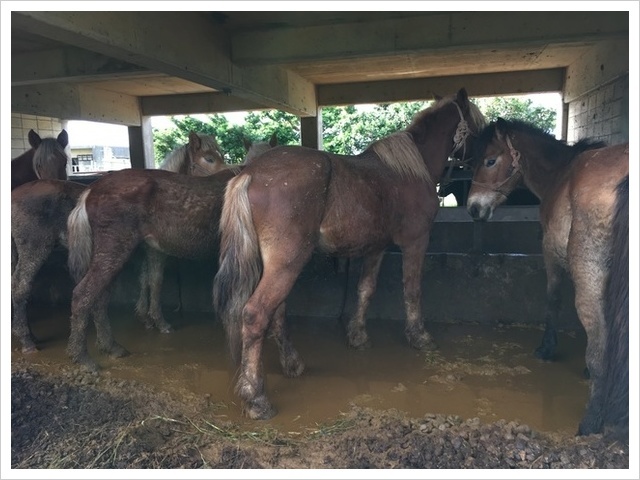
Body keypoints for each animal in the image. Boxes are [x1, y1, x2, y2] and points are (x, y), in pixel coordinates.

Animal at [10, 131, 228, 352]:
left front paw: (147, 318)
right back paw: (28, 341)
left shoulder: (148, 251)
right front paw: (158, 321)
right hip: (36, 249)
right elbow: (155, 282)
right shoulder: (156, 252)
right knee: (21, 287)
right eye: (209, 159)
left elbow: (147, 280)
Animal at [63, 135, 276, 368]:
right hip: (113, 252)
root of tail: (91, 190)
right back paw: (82, 358)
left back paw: (111, 347)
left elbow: (153, 282)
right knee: (83, 295)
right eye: (209, 158)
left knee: (99, 298)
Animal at [212, 88, 488, 418]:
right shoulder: (415, 242)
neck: (410, 169)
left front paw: (357, 335)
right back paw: (256, 398)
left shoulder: (376, 248)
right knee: (256, 314)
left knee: (276, 311)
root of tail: (251, 174)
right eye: (479, 129)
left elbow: (365, 289)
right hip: (287, 263)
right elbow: (412, 291)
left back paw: (292, 364)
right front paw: (419, 336)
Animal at [464, 118, 632, 436]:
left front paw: (546, 348)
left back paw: (590, 422)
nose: (473, 208)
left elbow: (552, 299)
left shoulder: (551, 256)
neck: (559, 174)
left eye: (490, 160)